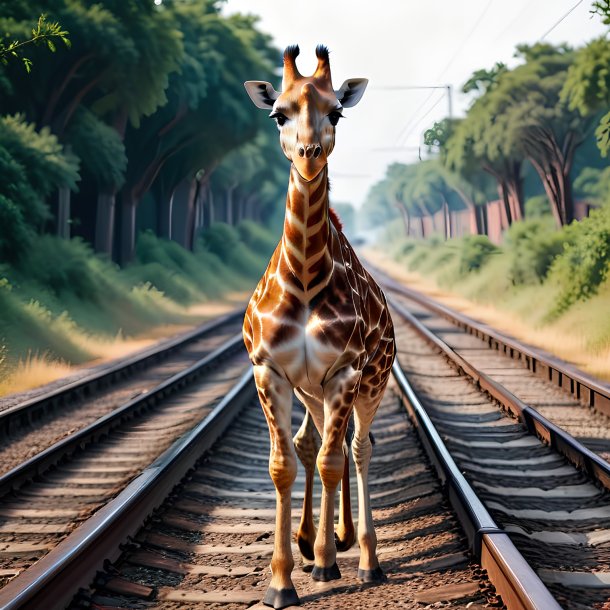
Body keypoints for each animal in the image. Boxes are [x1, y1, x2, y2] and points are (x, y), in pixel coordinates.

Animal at [242, 44, 394, 608]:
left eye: (337, 112)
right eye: (277, 114)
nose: (309, 154)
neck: (306, 280)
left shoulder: (345, 373)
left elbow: (333, 461)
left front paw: (329, 560)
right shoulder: (270, 371)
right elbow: (284, 464)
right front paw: (282, 580)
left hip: (371, 383)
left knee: (358, 448)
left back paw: (362, 558)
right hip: (311, 390)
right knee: (315, 444)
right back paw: (316, 546)